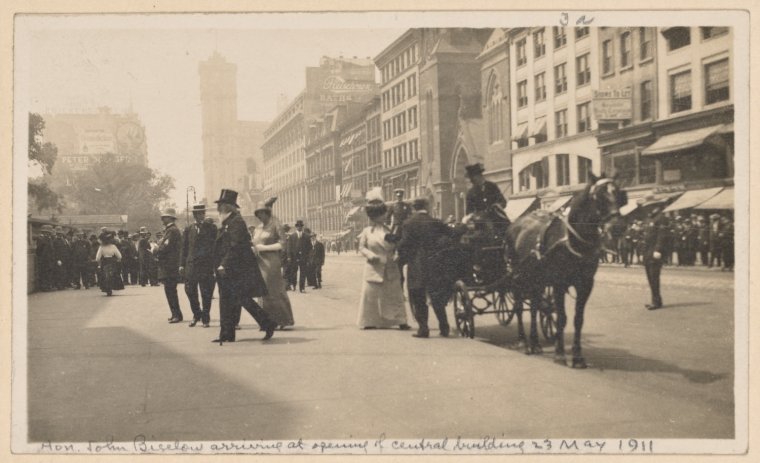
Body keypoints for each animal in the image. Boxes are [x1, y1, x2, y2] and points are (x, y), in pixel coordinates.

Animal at [504, 174, 628, 370]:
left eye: (619, 194)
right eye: (599, 197)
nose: (617, 227)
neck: (573, 241)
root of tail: (514, 225)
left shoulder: (585, 284)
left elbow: (578, 319)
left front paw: (577, 357)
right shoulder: (558, 283)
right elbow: (562, 318)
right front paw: (560, 354)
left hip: (537, 280)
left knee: (534, 307)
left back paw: (535, 343)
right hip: (518, 277)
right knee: (518, 306)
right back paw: (523, 341)